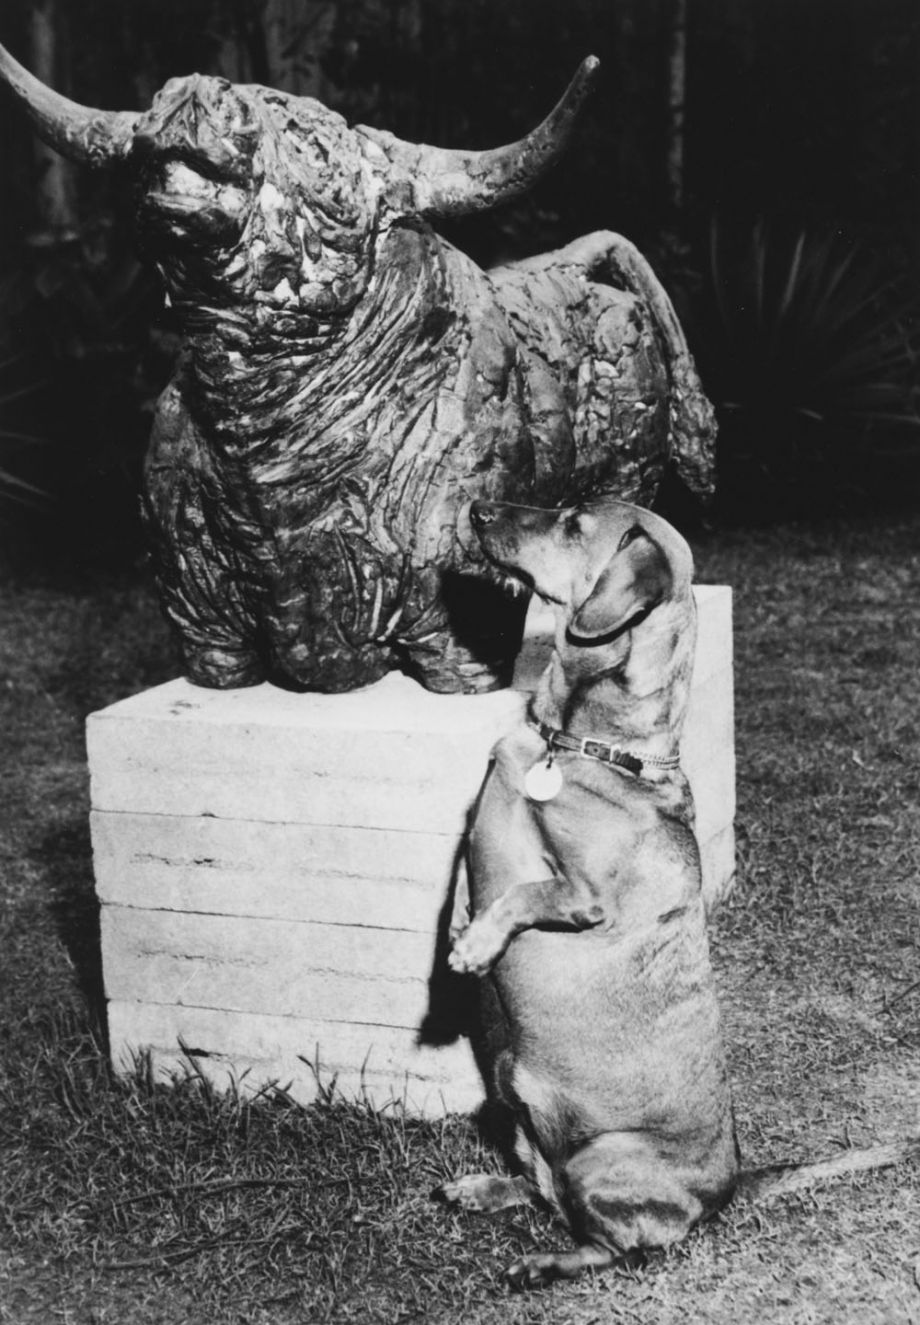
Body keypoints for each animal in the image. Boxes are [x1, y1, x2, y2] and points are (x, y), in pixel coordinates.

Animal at [442, 495, 920, 1282]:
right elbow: (460, 884)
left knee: (617, 1245)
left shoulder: (583, 897)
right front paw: (459, 936)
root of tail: (729, 1183)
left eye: (573, 521)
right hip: (515, 1121)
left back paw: (543, 1263)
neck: (575, 746)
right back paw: (486, 1188)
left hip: (601, 1159)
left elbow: (520, 896)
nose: (477, 507)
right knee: (539, 1188)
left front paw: (476, 945)